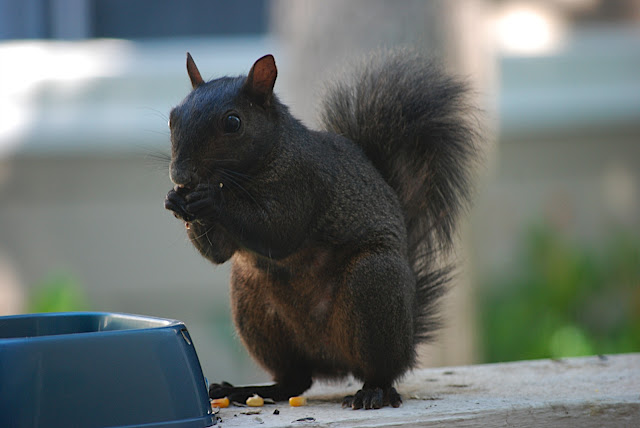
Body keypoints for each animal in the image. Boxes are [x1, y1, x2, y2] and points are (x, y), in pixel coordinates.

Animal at [164, 49, 479, 410]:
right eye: (173, 117)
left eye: (233, 122)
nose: (180, 175)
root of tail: (332, 361)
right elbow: (217, 253)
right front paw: (177, 200)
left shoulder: (305, 181)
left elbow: (278, 231)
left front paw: (211, 199)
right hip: (254, 305)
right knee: (294, 380)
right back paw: (247, 391)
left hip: (374, 284)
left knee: (382, 370)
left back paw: (374, 390)